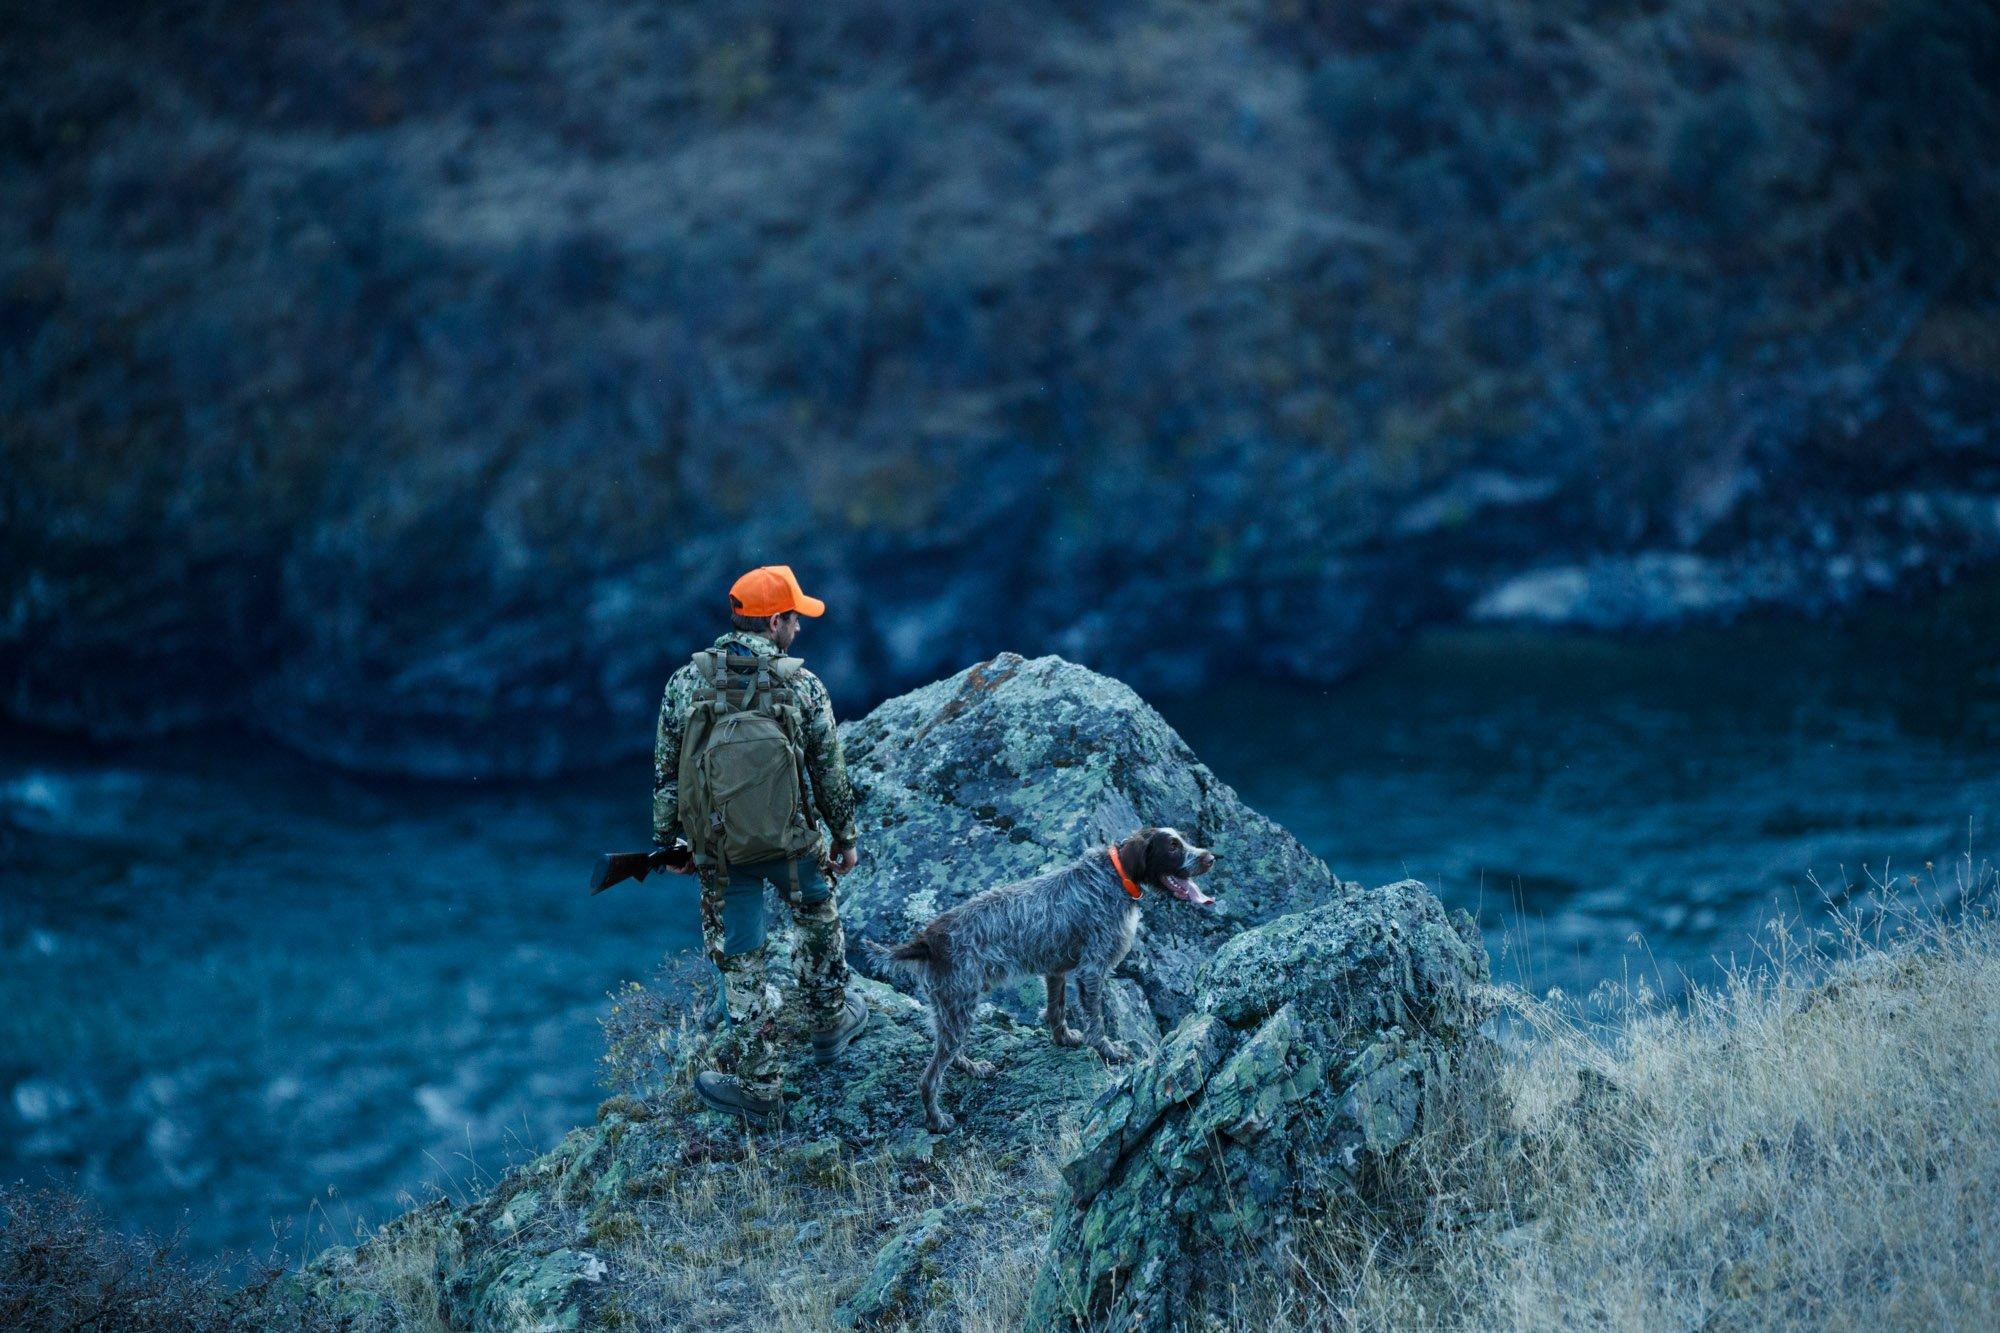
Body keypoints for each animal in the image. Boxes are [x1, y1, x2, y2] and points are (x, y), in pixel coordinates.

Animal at [864, 824, 1208, 1128]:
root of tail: (927, 939)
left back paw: (972, 1067)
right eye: (1173, 847)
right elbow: (1096, 1022)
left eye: (1184, 841)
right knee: (928, 1079)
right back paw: (937, 1121)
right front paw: (1108, 1051)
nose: (1209, 857)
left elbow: (1056, 1010)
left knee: (949, 1052)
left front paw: (1064, 1039)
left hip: (948, 1008)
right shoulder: (1092, 970)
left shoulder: (1056, 969)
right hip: (958, 1006)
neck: (1114, 875)